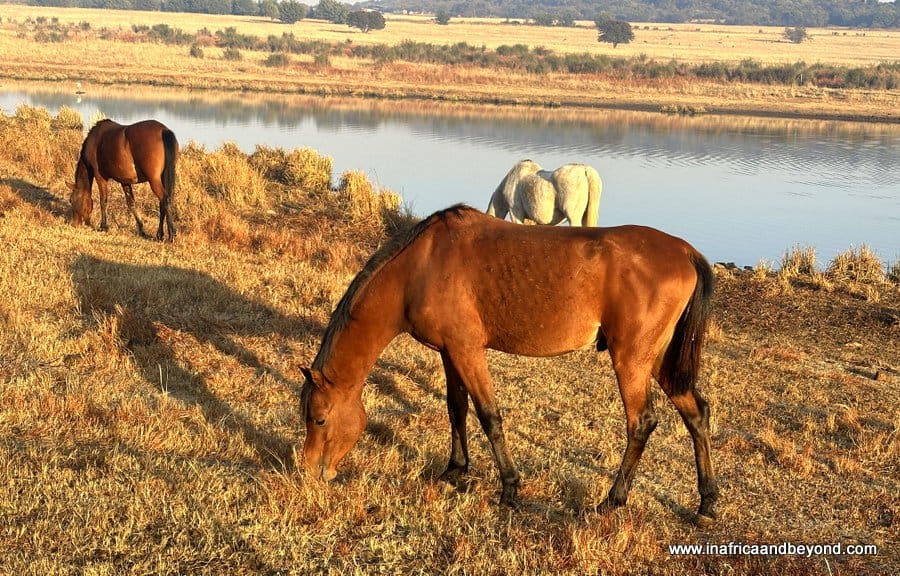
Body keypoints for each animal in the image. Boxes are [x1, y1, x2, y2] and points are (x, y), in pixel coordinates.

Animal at [301, 205, 718, 525]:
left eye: (319, 419)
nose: (310, 472)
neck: (421, 267)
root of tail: (685, 252)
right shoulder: (449, 353)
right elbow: (456, 408)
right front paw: (455, 470)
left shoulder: (468, 351)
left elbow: (489, 416)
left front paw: (510, 489)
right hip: (660, 361)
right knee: (696, 413)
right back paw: (707, 503)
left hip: (631, 360)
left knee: (641, 423)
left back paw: (612, 500)